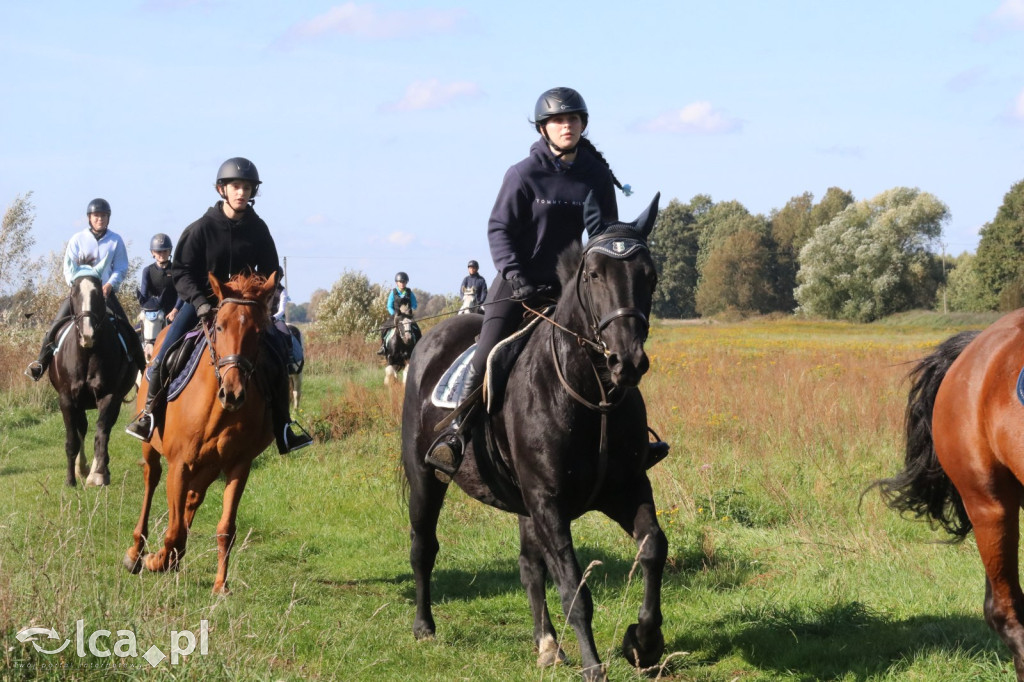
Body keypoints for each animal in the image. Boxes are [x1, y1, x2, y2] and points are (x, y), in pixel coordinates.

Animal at [49, 266, 140, 483]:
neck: (87, 354)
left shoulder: (109, 397)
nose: (87, 334)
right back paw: (80, 468)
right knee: (81, 429)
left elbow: (101, 432)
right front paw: (70, 480)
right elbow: (73, 438)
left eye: (98, 293)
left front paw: (98, 474)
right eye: (74, 293)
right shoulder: (67, 399)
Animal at [121, 268, 278, 593]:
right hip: (153, 449)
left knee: (191, 500)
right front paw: (156, 560)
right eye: (219, 326)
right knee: (151, 481)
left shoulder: (238, 466)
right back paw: (137, 553)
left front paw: (220, 586)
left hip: (209, 465)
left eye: (259, 333)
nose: (233, 394)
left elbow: (225, 528)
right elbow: (174, 530)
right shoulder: (179, 464)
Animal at [395, 192, 667, 679]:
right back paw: (424, 626)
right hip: (426, 478)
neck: (589, 394)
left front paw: (643, 642)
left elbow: (653, 547)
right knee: (423, 547)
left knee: (528, 566)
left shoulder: (625, 489)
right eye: (594, 274)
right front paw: (594, 665)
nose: (627, 361)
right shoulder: (548, 504)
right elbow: (575, 587)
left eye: (649, 276)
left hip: (522, 501)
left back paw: (547, 643)